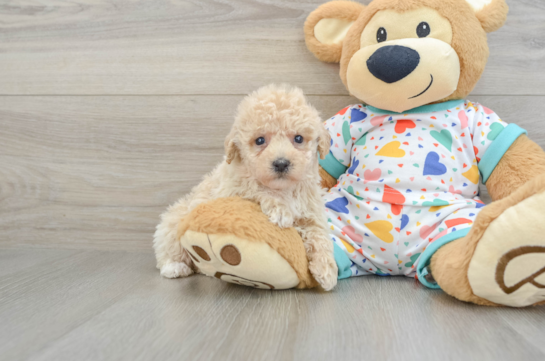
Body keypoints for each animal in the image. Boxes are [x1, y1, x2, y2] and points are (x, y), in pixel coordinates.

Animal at [153, 83, 338, 290]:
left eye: (298, 139)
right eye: (260, 140)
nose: (281, 163)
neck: (284, 189)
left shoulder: (311, 211)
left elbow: (319, 234)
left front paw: (327, 271)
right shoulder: (231, 190)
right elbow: (257, 189)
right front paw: (280, 210)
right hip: (173, 222)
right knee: (168, 248)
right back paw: (175, 267)